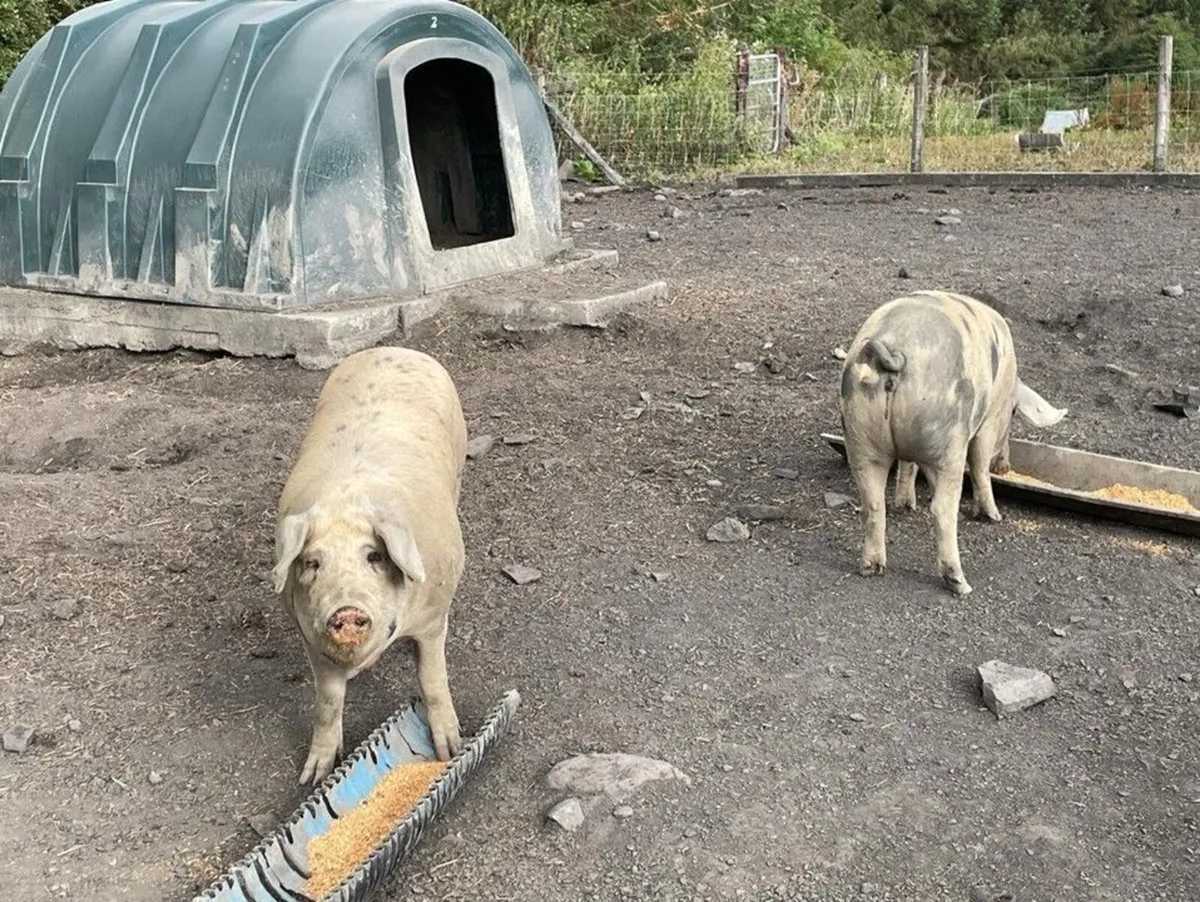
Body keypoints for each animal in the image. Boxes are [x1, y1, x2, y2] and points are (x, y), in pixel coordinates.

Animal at [272, 346, 468, 784]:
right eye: (312, 563)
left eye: (374, 556)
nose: (345, 610)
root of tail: (392, 350)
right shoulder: (310, 637)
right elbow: (327, 702)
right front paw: (314, 777)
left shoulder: (433, 617)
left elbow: (432, 678)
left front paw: (450, 751)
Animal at [839, 290, 1066, 596]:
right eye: (1014, 412)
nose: (1005, 467)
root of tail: (894, 353)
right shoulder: (989, 421)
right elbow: (980, 464)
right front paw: (993, 517)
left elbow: (908, 466)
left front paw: (907, 504)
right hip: (947, 443)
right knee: (942, 509)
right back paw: (961, 584)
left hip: (861, 438)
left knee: (873, 503)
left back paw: (870, 568)